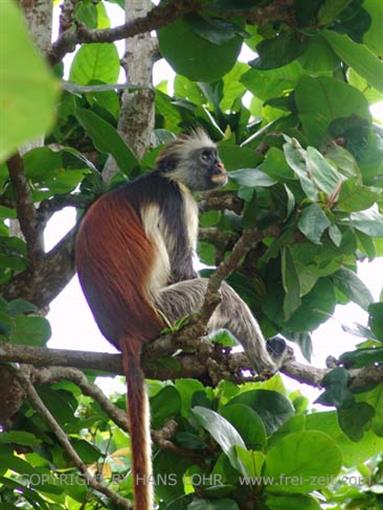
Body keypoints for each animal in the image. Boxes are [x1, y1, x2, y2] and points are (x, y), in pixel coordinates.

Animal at [76, 130, 280, 510]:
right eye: (206, 156)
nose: (220, 165)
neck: (164, 177)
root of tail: (124, 330)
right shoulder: (175, 199)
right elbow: (183, 269)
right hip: (166, 311)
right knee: (219, 292)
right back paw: (266, 362)